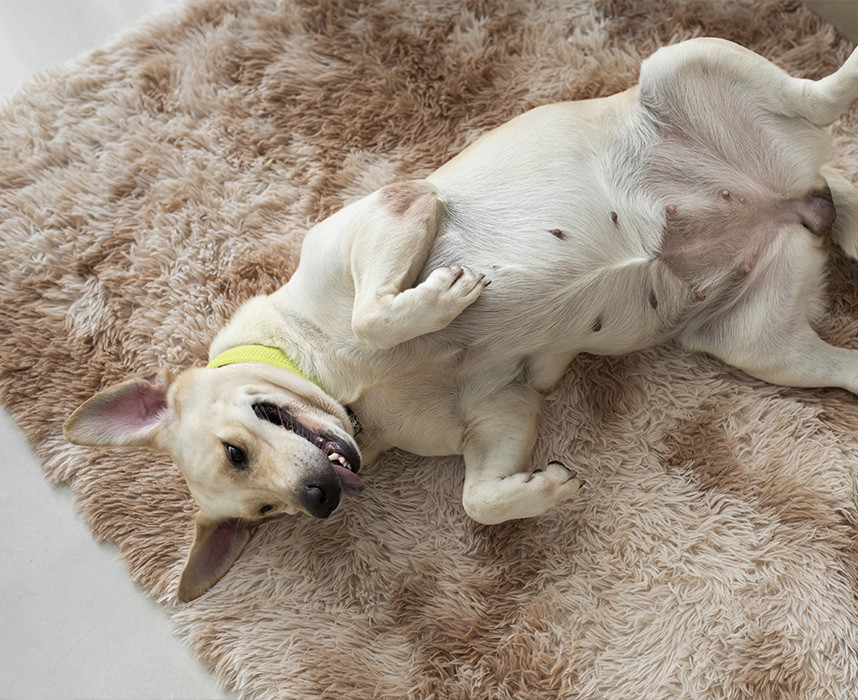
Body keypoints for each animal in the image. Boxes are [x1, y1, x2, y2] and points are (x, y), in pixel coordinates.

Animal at [63, 38, 856, 600]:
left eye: (236, 452)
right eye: (262, 514)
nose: (318, 500)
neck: (345, 387)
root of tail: (793, 194)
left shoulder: (398, 207)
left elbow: (376, 314)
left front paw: (441, 299)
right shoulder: (501, 408)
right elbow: (480, 501)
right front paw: (542, 490)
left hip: (679, 64)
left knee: (817, 96)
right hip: (758, 346)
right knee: (840, 352)